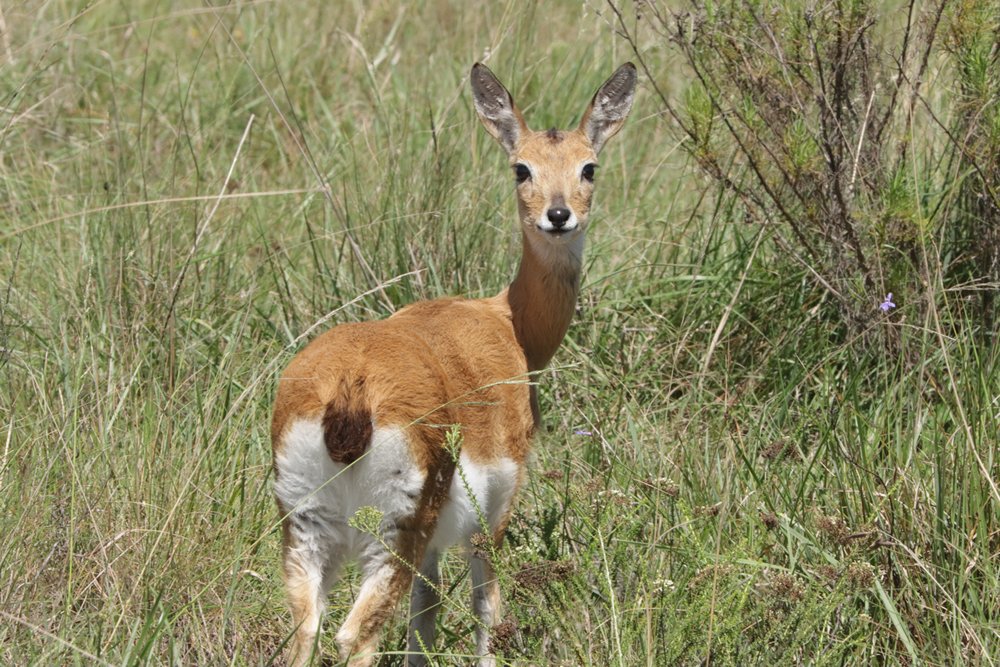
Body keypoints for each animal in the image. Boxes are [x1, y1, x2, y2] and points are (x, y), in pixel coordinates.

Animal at [271, 61, 636, 666]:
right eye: (521, 167)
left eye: (589, 166)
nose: (558, 215)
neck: (507, 323)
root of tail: (349, 389)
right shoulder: (492, 516)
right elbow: (486, 606)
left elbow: (426, 617)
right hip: (391, 536)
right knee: (357, 636)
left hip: (307, 531)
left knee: (308, 630)